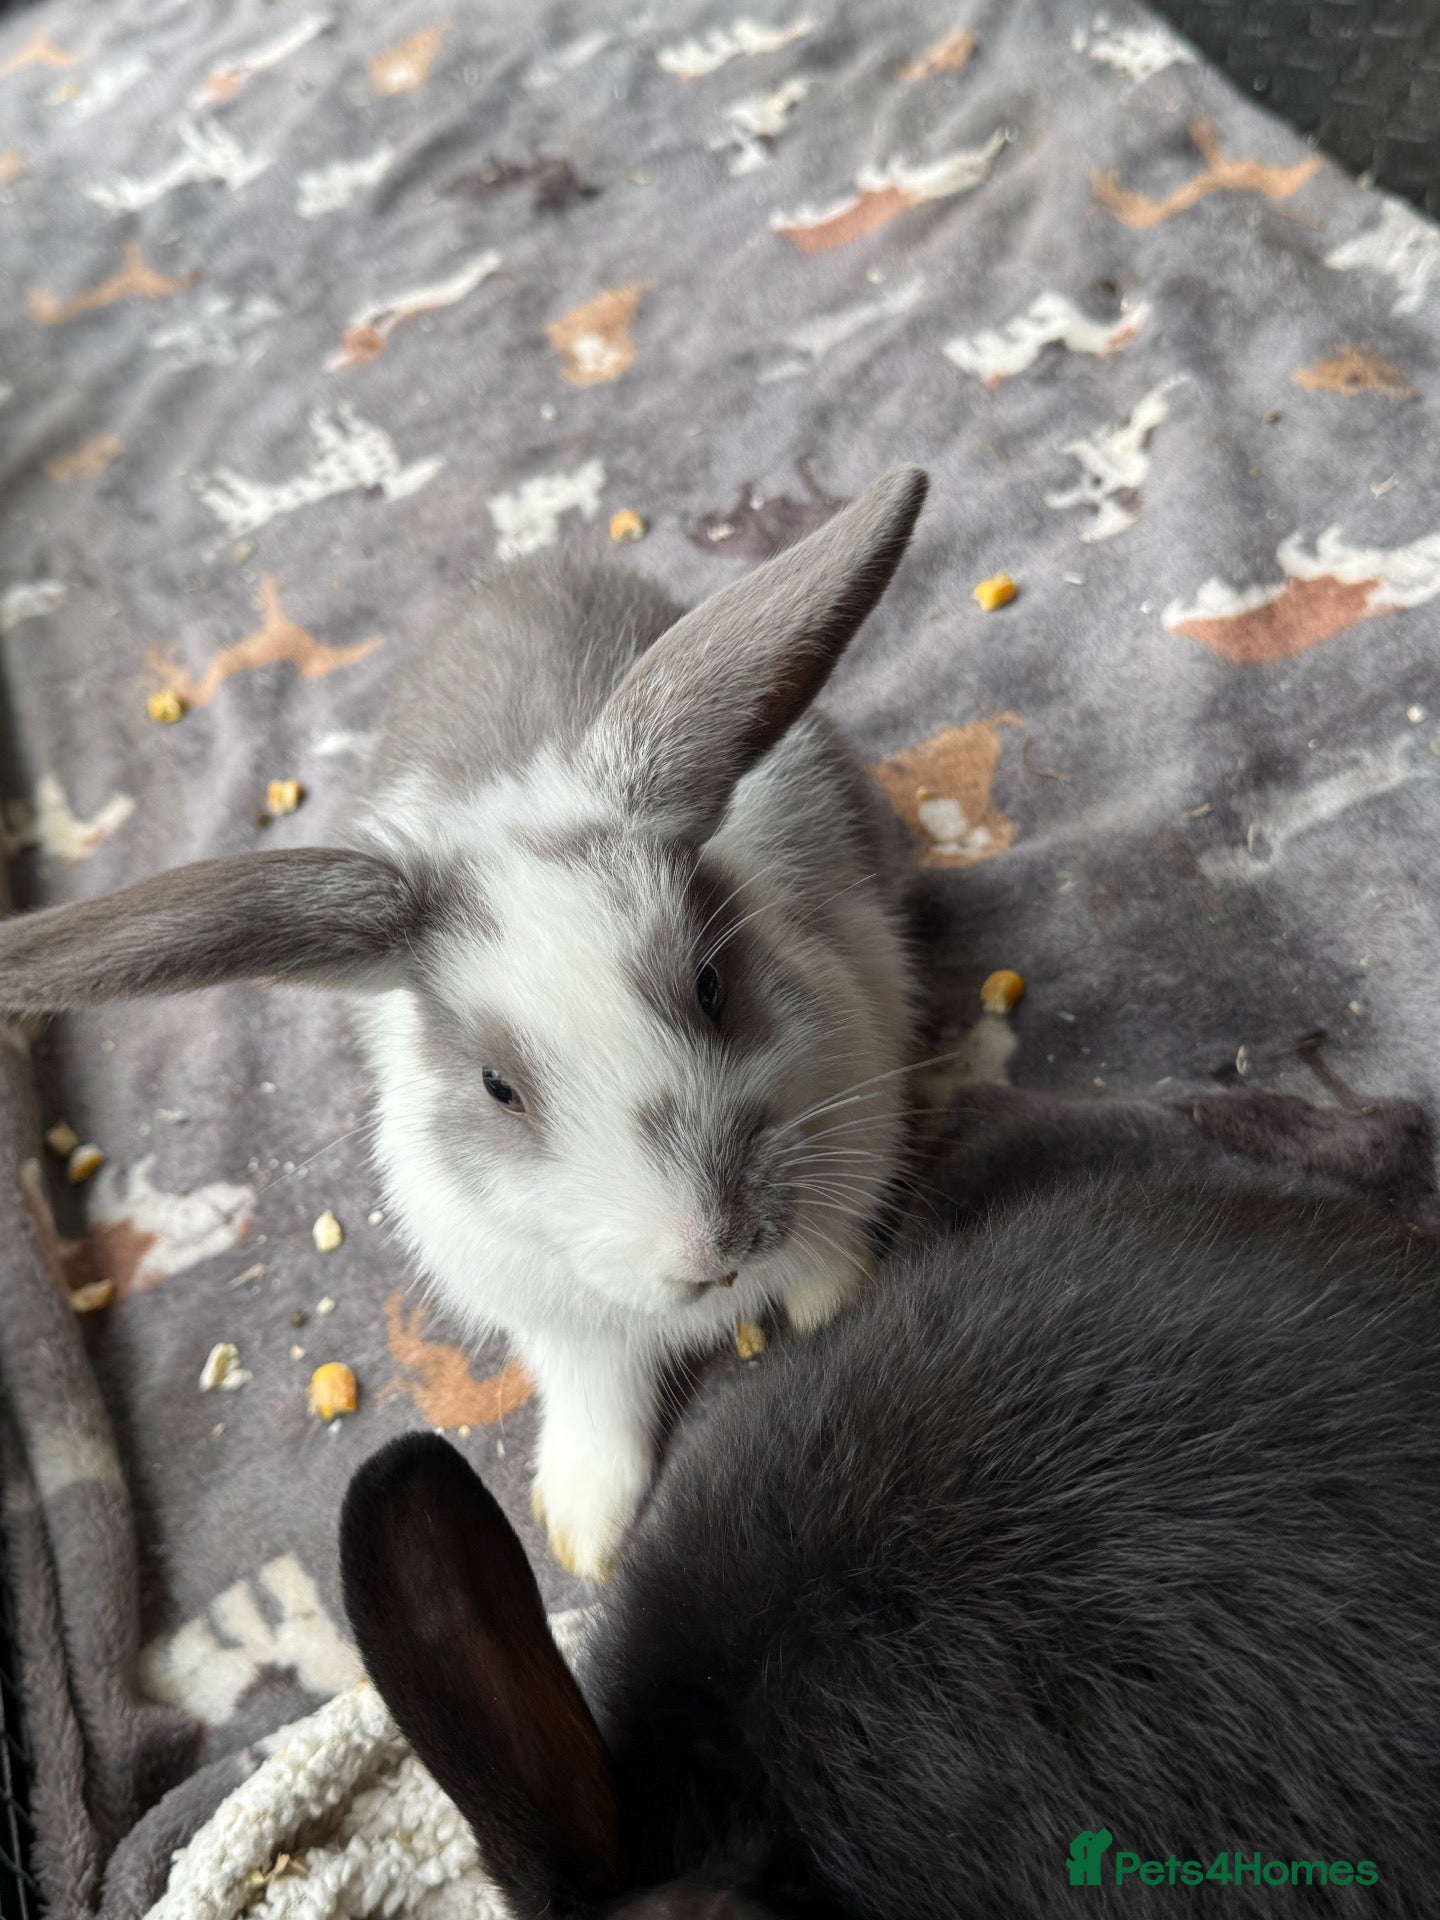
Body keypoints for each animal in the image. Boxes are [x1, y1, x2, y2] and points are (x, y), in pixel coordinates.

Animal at [0, 466, 927, 1579]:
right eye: (498, 1088)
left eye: (712, 986)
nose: (711, 1247)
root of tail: (524, 573)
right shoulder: (561, 1324)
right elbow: (596, 1399)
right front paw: (582, 1529)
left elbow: (832, 1261)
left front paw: (836, 1309)